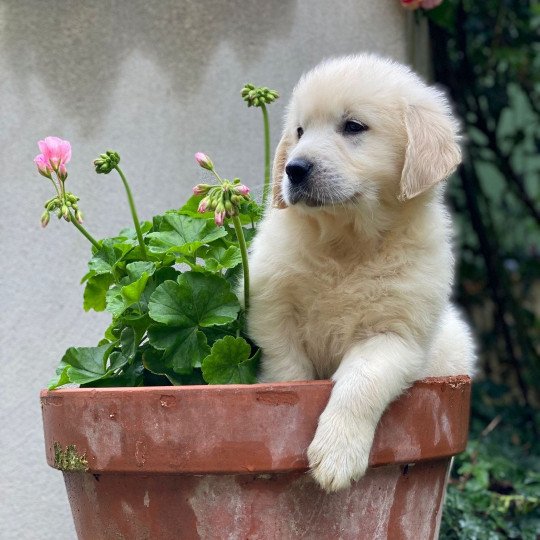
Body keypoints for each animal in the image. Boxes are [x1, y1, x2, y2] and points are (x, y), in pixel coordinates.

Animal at [247, 52, 474, 492]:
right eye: (300, 131)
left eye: (353, 127)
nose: (294, 169)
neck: (346, 244)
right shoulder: (272, 310)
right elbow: (288, 371)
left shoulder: (396, 336)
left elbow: (360, 381)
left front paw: (337, 454)